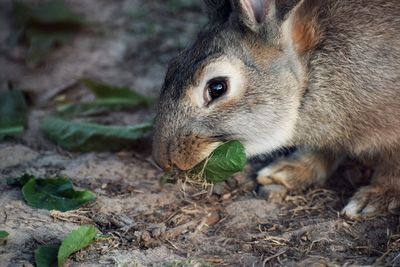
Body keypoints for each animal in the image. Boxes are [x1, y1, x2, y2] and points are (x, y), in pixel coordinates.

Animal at [151, 0, 400, 220]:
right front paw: (286, 171)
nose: (164, 160)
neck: (309, 71)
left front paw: (373, 199)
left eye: (217, 88)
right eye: (172, 67)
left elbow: (393, 167)